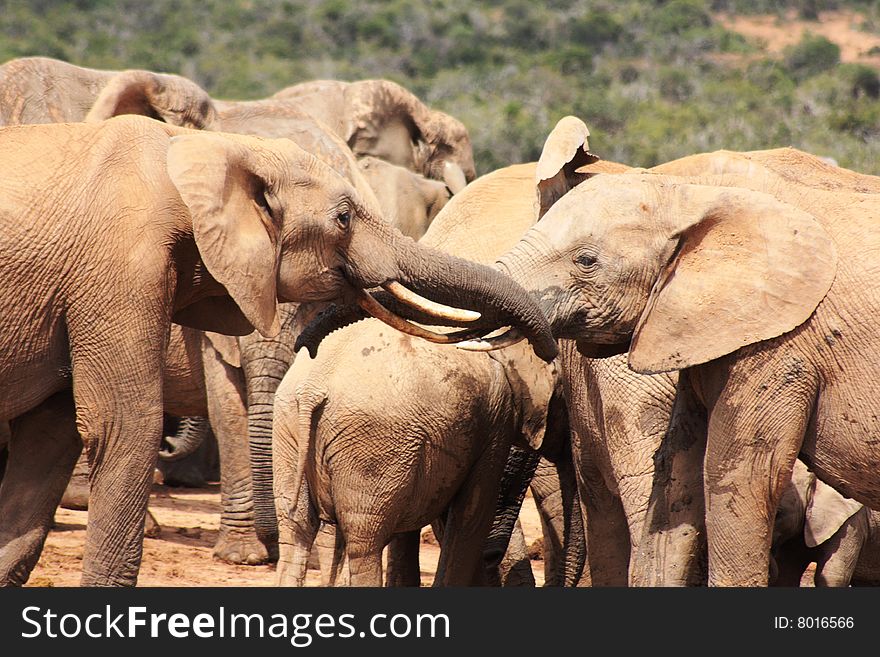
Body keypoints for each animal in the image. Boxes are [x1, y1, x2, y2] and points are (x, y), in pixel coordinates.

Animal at [0, 115, 552, 588]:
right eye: (344, 218)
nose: (545, 346)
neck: (212, 147)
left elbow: (49, 437)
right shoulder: (120, 270)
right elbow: (122, 425)